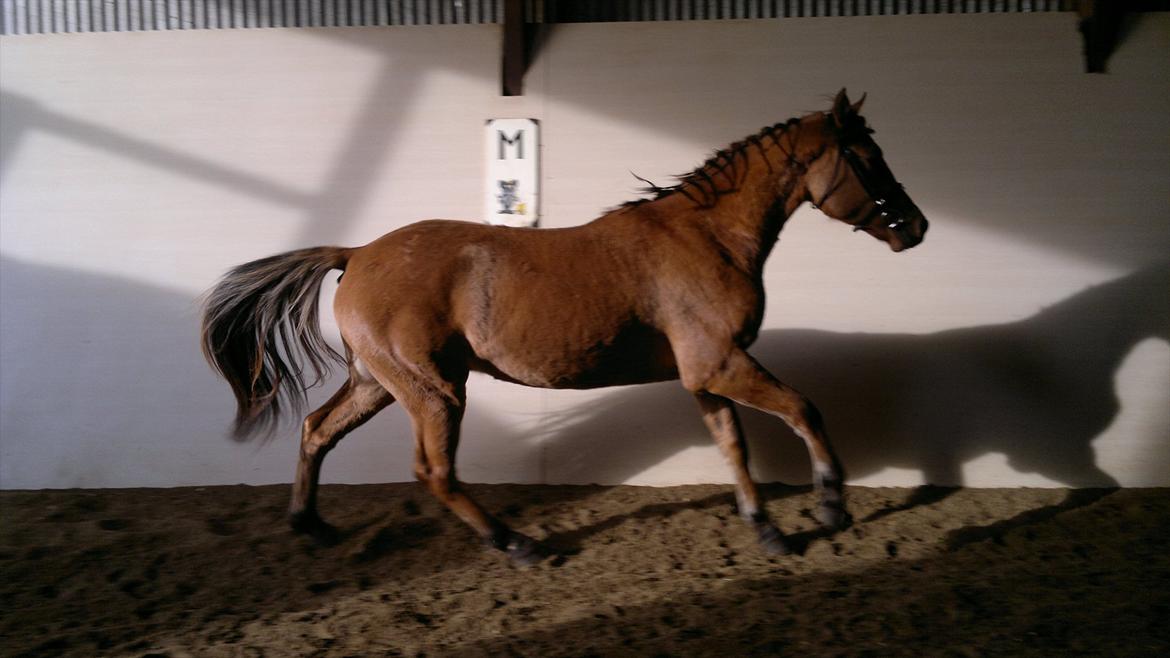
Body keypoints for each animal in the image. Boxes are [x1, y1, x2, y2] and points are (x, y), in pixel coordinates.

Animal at [201, 90, 928, 565]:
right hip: (432, 391)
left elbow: (733, 448)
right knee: (433, 470)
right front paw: (831, 507)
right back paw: (518, 544)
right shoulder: (723, 364)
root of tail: (355, 254)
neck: (709, 237)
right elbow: (804, 409)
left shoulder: (705, 376)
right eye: (867, 157)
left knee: (317, 429)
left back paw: (311, 524)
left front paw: (769, 529)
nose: (915, 227)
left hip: (378, 383)